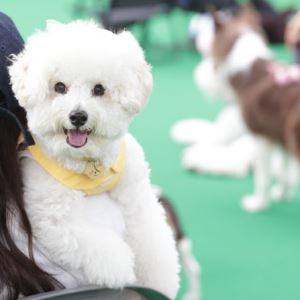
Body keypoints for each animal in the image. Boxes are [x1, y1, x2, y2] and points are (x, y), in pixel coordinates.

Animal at [8, 20, 179, 298]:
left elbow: (150, 239)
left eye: (99, 89)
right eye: (59, 87)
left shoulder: (137, 196)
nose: (78, 116)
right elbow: (93, 244)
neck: (89, 165)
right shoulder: (54, 216)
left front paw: (159, 277)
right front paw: (121, 270)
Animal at [205, 4, 300, 211]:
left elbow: (262, 176)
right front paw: (283, 194)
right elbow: (284, 171)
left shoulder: (260, 136)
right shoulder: (278, 135)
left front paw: (258, 203)